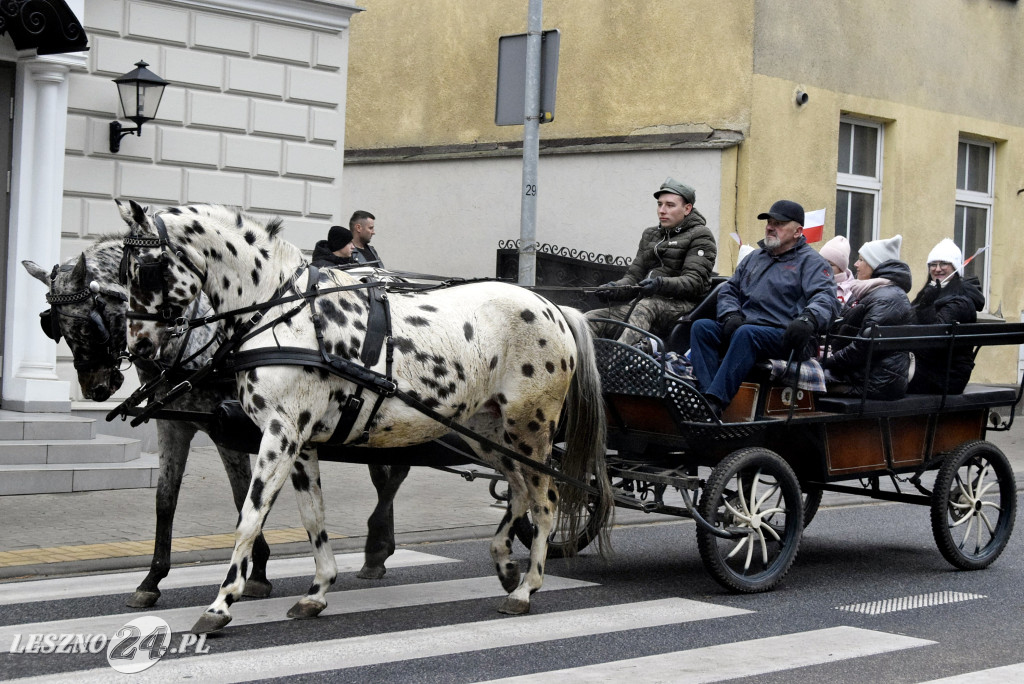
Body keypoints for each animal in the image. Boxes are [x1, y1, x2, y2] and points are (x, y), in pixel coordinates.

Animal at [20, 231, 411, 610]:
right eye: (53, 327)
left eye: (89, 326)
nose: (95, 388)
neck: (193, 337)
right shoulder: (174, 424)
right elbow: (165, 499)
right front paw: (151, 580)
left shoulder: (228, 428)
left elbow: (243, 497)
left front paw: (257, 572)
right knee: (385, 474)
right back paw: (377, 555)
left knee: (395, 472)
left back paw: (377, 545)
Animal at [119, 200, 614, 634]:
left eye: (145, 269)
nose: (138, 346)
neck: (281, 310)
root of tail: (555, 308)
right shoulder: (302, 443)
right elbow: (313, 517)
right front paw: (317, 591)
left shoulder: (280, 434)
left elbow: (250, 515)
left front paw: (222, 602)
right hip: (485, 433)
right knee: (519, 490)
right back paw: (504, 562)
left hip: (530, 429)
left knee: (546, 500)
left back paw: (527, 588)